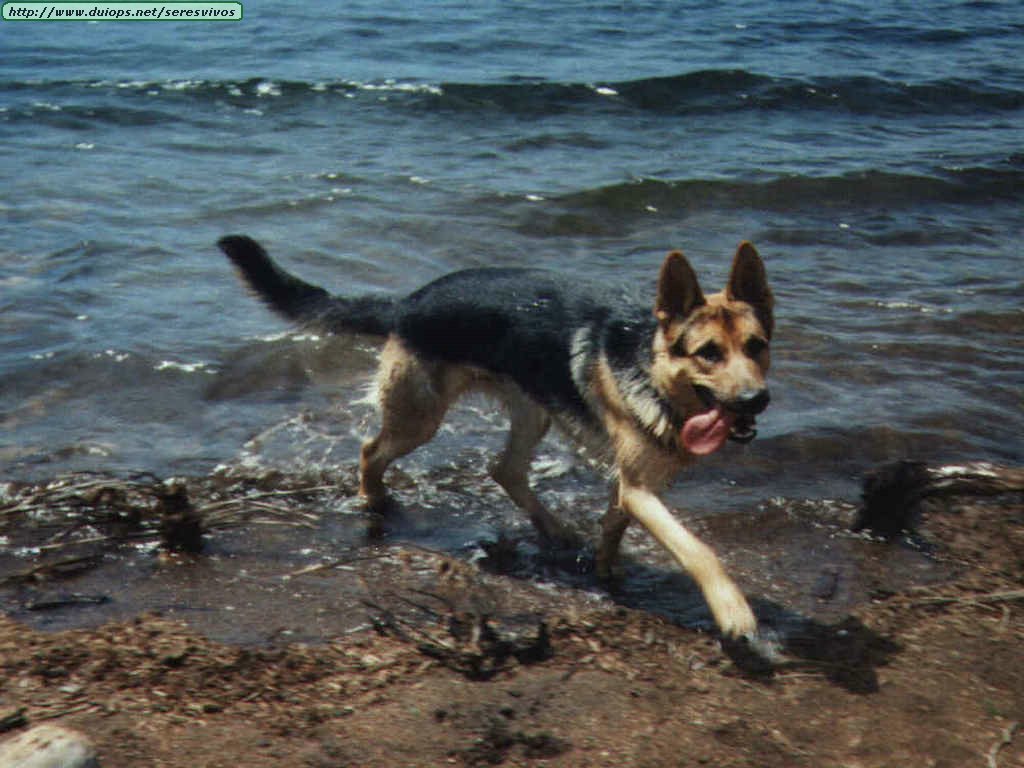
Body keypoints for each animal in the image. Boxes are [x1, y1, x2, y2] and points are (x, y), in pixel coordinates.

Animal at [218, 237, 774, 659]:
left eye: (756, 347)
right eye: (708, 354)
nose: (758, 400)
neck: (653, 368)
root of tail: (407, 303)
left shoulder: (634, 485)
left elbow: (614, 525)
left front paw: (606, 568)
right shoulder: (641, 489)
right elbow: (699, 551)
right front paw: (735, 615)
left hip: (533, 410)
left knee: (504, 469)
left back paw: (552, 527)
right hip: (421, 419)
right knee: (371, 450)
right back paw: (375, 502)